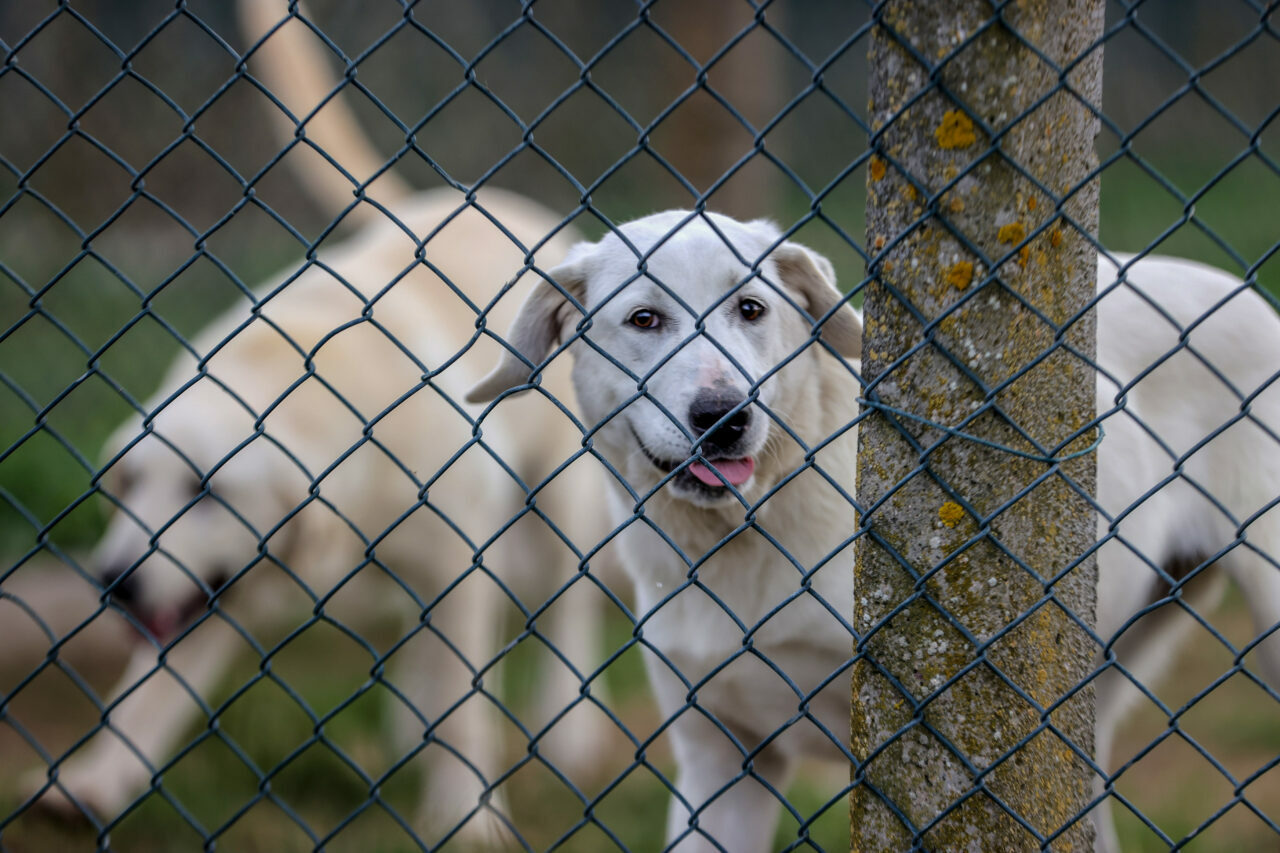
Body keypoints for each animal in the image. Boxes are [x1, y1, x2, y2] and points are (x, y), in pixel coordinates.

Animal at [468, 208, 1280, 845]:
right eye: (644, 319)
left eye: (752, 310)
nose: (725, 417)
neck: (744, 537)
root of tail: (1241, 290)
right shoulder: (720, 762)